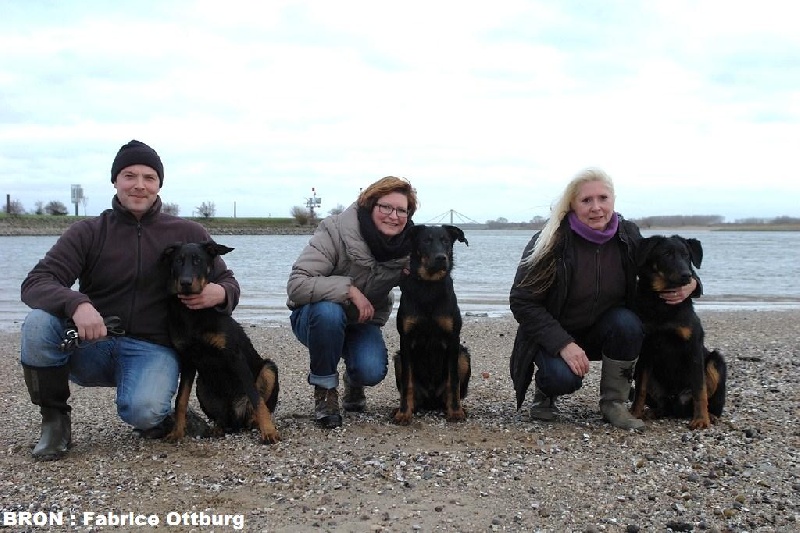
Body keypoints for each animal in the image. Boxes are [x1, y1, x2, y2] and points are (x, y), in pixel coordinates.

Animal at [160, 241, 280, 444]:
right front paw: (177, 432)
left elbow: (256, 398)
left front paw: (269, 431)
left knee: (258, 404)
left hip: (269, 369)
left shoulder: (235, 356)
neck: (192, 314)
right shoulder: (187, 359)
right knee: (222, 418)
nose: (185, 283)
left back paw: (256, 422)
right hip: (202, 386)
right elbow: (180, 400)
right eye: (178, 261)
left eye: (198, 261)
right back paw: (218, 428)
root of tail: (237, 418)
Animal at [393, 224, 471, 425]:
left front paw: (455, 412)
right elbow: (407, 382)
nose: (441, 257)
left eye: (446, 241)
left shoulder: (453, 338)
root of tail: (431, 400)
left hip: (463, 355)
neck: (429, 284)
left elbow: (453, 381)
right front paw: (403, 413)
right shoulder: (405, 339)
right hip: (398, 359)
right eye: (426, 241)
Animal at [631, 235, 727, 430]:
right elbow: (640, 388)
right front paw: (635, 413)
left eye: (686, 255)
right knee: (663, 405)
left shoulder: (694, 348)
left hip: (716, 362)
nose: (687, 275)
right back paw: (654, 411)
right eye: (666, 254)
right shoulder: (646, 350)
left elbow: (700, 389)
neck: (662, 303)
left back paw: (711, 415)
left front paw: (701, 419)